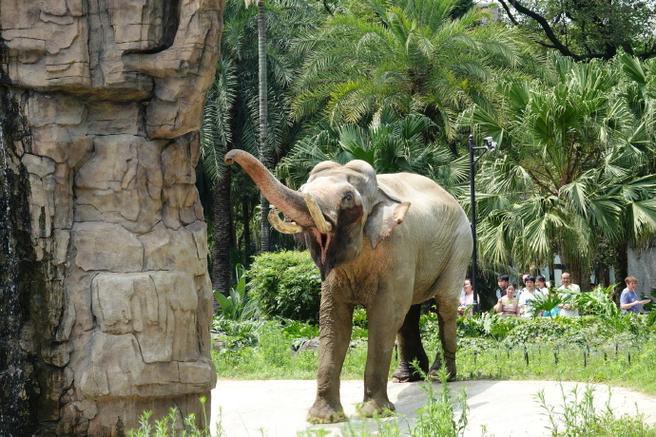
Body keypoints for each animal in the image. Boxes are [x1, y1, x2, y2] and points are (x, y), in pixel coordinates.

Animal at [224, 150, 473, 423]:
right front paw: (323, 418)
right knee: (410, 312)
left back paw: (440, 376)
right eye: (302, 189)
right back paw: (406, 377)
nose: (228, 158)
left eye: (347, 197)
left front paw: (375, 413)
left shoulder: (399, 247)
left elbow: (384, 317)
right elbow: (334, 321)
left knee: (445, 306)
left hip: (460, 247)